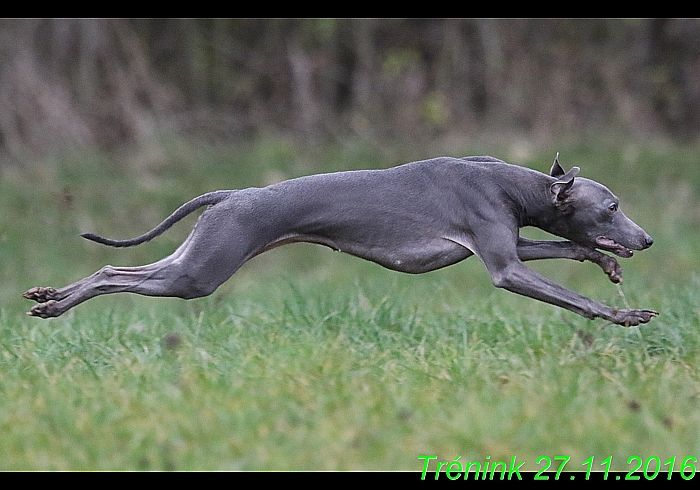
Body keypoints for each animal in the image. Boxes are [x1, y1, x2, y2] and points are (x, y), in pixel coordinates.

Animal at [21, 155, 656, 328]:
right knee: (113, 274)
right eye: (613, 206)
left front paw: (607, 265)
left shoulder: (508, 248)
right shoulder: (505, 266)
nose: (647, 239)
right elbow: (573, 297)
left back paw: (49, 298)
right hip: (198, 273)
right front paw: (623, 315)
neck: (515, 185)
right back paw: (54, 304)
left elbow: (571, 249)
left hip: (193, 257)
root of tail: (232, 195)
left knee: (114, 272)